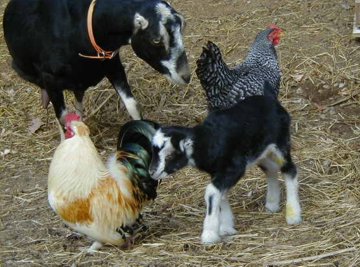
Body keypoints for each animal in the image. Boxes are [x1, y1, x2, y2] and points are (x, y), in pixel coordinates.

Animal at [3, 0, 191, 129]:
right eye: (156, 39)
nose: (186, 76)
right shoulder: (50, 78)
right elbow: (62, 118)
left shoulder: (113, 64)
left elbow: (132, 104)